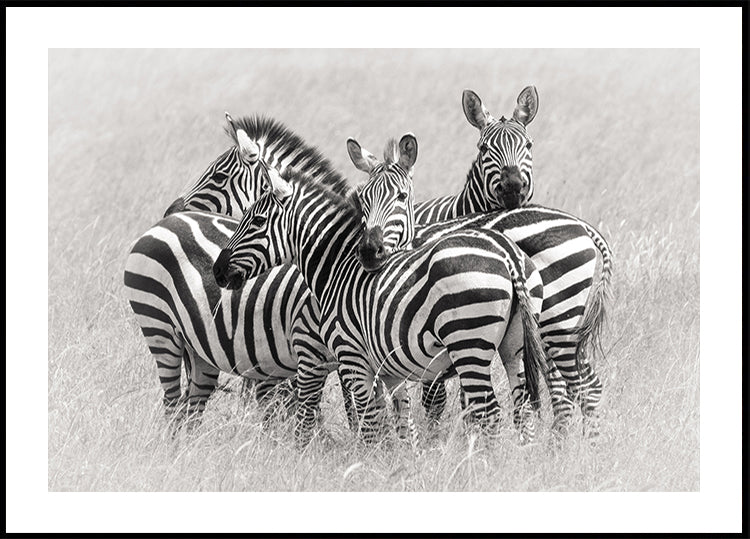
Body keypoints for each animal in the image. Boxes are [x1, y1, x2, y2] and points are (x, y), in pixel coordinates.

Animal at [213, 162, 549, 446]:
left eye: (257, 221)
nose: (217, 270)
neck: (337, 268)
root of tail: (507, 253)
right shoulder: (389, 368)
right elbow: (401, 422)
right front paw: (402, 465)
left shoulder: (352, 357)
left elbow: (370, 423)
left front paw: (368, 466)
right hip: (514, 347)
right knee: (521, 408)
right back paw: (522, 460)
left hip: (468, 344)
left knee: (489, 412)